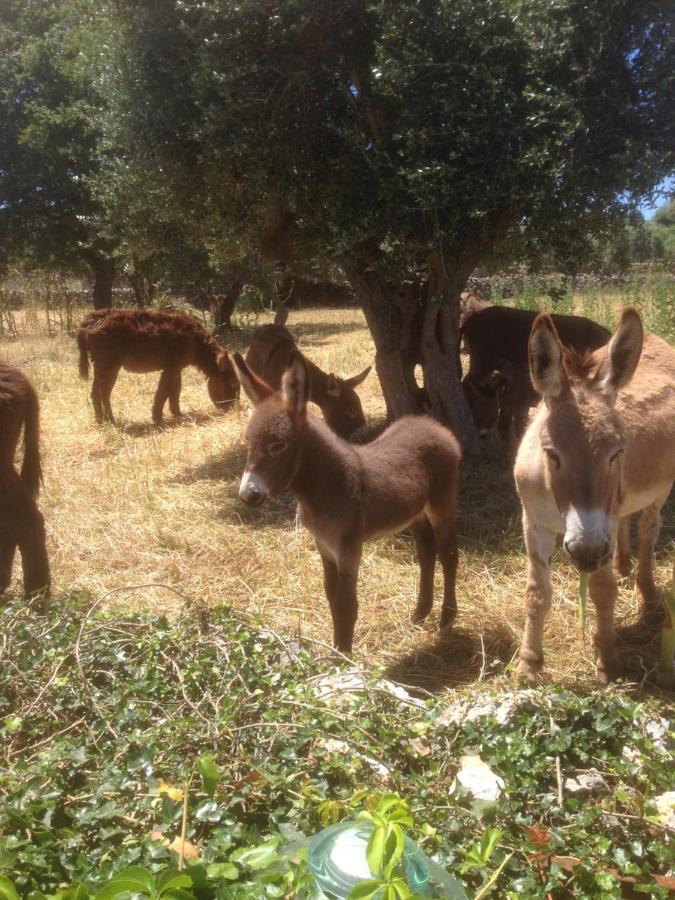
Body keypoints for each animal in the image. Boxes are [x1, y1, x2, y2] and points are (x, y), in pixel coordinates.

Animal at [78, 310, 240, 426]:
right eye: (233, 385)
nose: (234, 408)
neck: (196, 340)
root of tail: (89, 321)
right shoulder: (172, 368)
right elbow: (164, 392)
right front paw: (158, 419)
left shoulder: (176, 368)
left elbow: (175, 392)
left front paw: (178, 415)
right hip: (110, 366)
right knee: (102, 393)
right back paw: (109, 421)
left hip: (102, 366)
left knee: (96, 392)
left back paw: (102, 421)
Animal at [231, 348, 460, 652]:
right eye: (249, 442)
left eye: (278, 445)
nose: (248, 495)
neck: (322, 489)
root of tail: (434, 426)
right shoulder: (324, 546)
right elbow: (331, 597)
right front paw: (337, 649)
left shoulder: (349, 549)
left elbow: (347, 604)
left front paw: (343, 656)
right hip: (415, 512)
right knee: (426, 553)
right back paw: (420, 613)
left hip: (441, 505)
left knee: (448, 554)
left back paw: (447, 619)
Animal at [516, 310, 672, 684]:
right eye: (551, 454)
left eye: (617, 453)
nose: (585, 552)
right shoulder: (533, 522)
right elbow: (536, 593)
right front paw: (529, 665)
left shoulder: (603, 522)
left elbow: (603, 591)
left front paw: (608, 660)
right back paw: (623, 564)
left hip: (660, 490)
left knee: (648, 527)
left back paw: (646, 593)